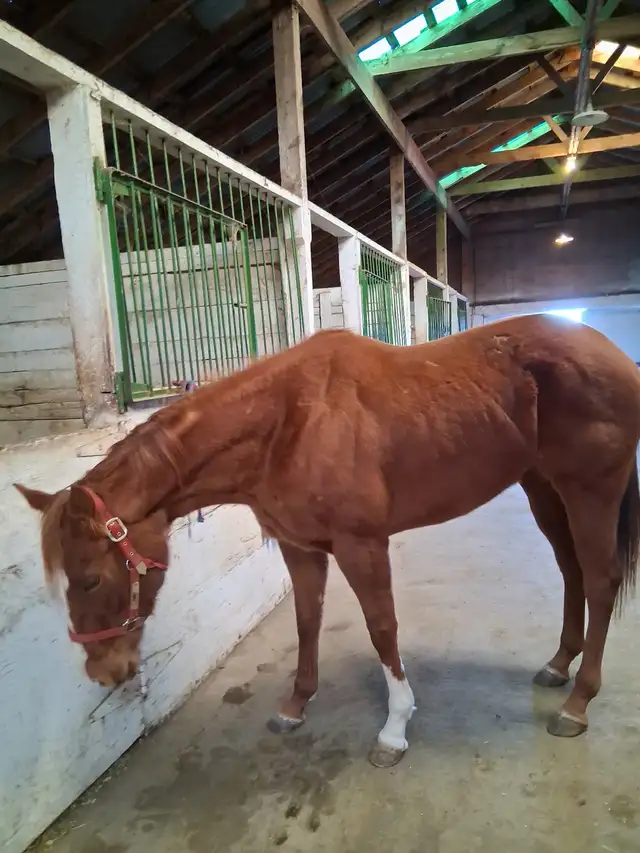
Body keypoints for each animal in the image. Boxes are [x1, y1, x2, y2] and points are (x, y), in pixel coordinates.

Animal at [16, 313, 640, 768]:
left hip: (590, 491)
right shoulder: (301, 547)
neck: (286, 422)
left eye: (91, 578)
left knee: (601, 580)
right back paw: (558, 664)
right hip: (544, 489)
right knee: (572, 572)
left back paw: (577, 703)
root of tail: (613, 354)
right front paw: (296, 705)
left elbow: (382, 627)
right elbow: (307, 620)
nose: (103, 672)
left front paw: (395, 728)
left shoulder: (362, 544)